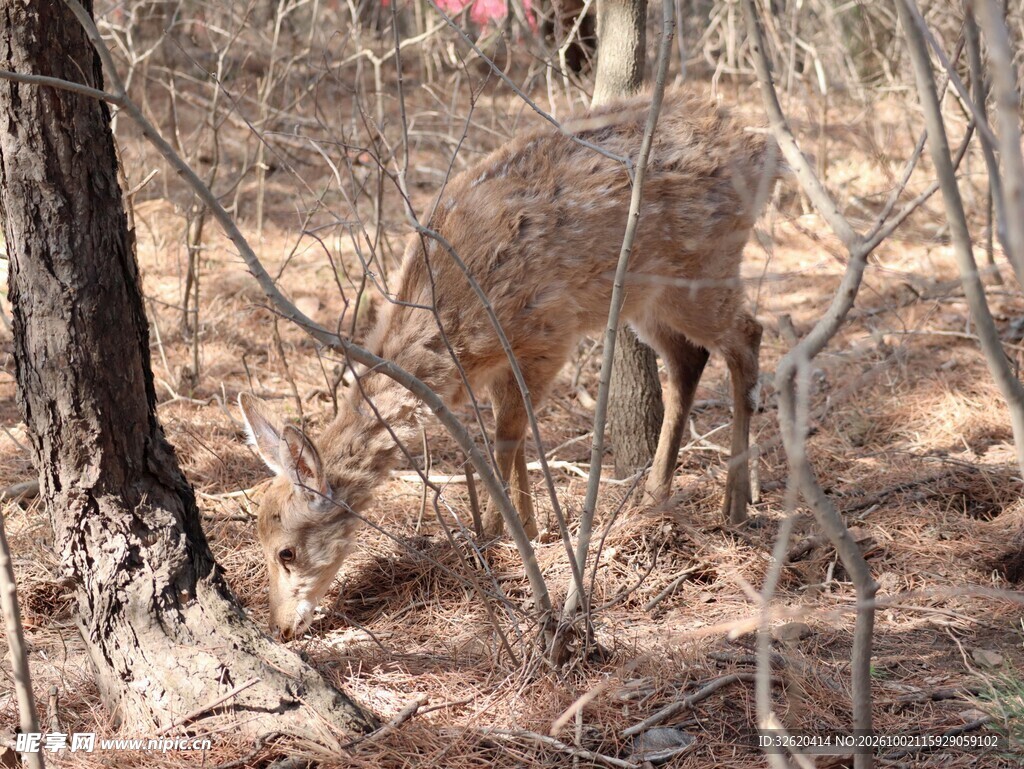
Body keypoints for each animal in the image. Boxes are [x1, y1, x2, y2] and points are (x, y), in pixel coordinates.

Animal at [238, 89, 779, 640]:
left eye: (286, 552)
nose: (279, 627)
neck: (449, 338)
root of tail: (761, 149)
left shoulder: (544, 337)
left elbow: (505, 438)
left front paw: (498, 538)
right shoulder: (501, 366)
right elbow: (513, 439)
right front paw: (531, 528)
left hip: (703, 266)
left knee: (748, 336)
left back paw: (736, 503)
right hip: (649, 296)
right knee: (690, 359)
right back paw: (655, 498)